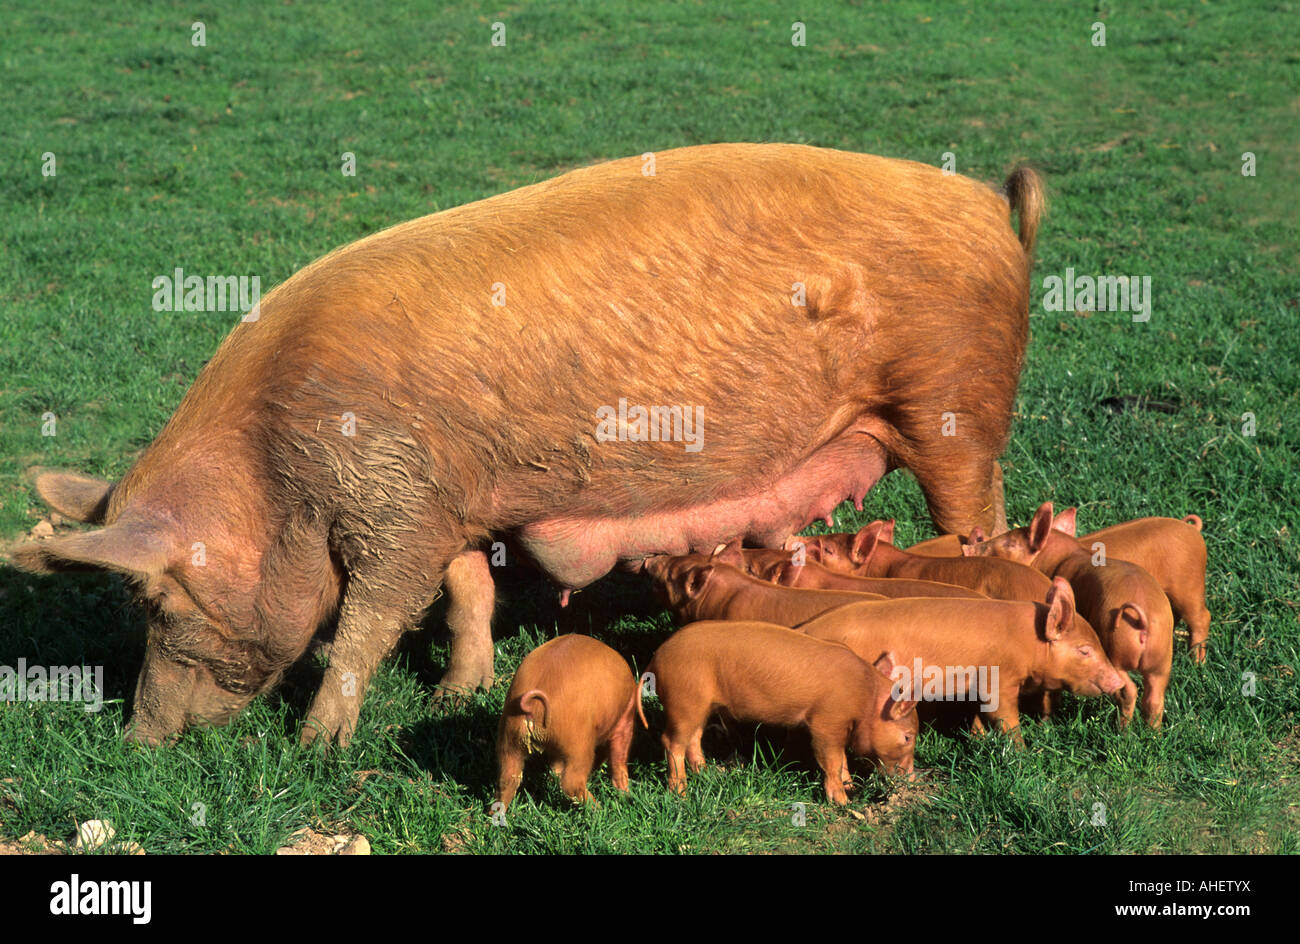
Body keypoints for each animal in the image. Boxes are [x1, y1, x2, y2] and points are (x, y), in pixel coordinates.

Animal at [495, 635, 640, 810]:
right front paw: (626, 796)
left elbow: (555, 768)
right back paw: (599, 809)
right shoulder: (625, 719)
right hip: (579, 746)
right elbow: (619, 759)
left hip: (508, 738)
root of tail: (532, 705)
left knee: (507, 780)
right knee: (571, 782)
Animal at [641, 621, 918, 804]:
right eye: (907, 737)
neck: (865, 698)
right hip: (683, 701)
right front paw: (843, 802)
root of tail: (657, 657)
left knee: (694, 738)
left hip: (699, 706)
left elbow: (842, 759)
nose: (913, 779)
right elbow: (831, 759)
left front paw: (850, 787)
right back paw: (681, 794)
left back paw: (709, 773)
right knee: (671, 742)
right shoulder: (826, 722)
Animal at [964, 502, 1175, 727]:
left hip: (1115, 648)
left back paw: (1123, 730)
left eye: (1010, 543)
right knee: (1154, 698)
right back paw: (1152, 732)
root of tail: (1143, 623)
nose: (969, 548)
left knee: (1128, 690)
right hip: (1162, 659)